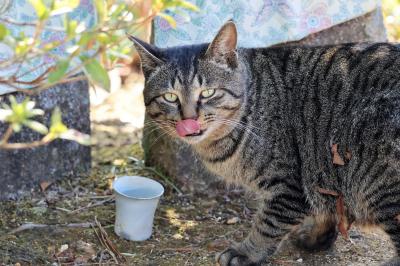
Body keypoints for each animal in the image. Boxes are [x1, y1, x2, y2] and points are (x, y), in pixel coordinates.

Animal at [130, 21, 400, 266]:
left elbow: (269, 223)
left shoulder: (288, 184)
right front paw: (316, 237)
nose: (189, 120)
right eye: (170, 97)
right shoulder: (321, 178)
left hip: (379, 178)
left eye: (208, 93)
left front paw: (247, 252)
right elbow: (324, 210)